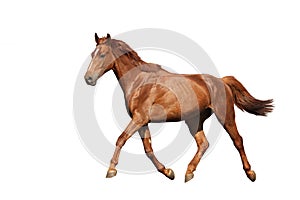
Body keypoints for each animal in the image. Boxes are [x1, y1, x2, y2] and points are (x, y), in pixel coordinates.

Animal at [83, 33, 274, 183]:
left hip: (225, 115)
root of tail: (222, 81)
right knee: (204, 144)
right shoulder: (142, 121)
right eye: (93, 54)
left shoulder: (139, 118)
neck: (139, 81)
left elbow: (121, 139)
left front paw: (111, 170)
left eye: (103, 55)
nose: (88, 78)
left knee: (237, 140)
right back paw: (188, 172)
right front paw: (168, 172)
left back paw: (250, 173)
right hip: (194, 121)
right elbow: (148, 149)